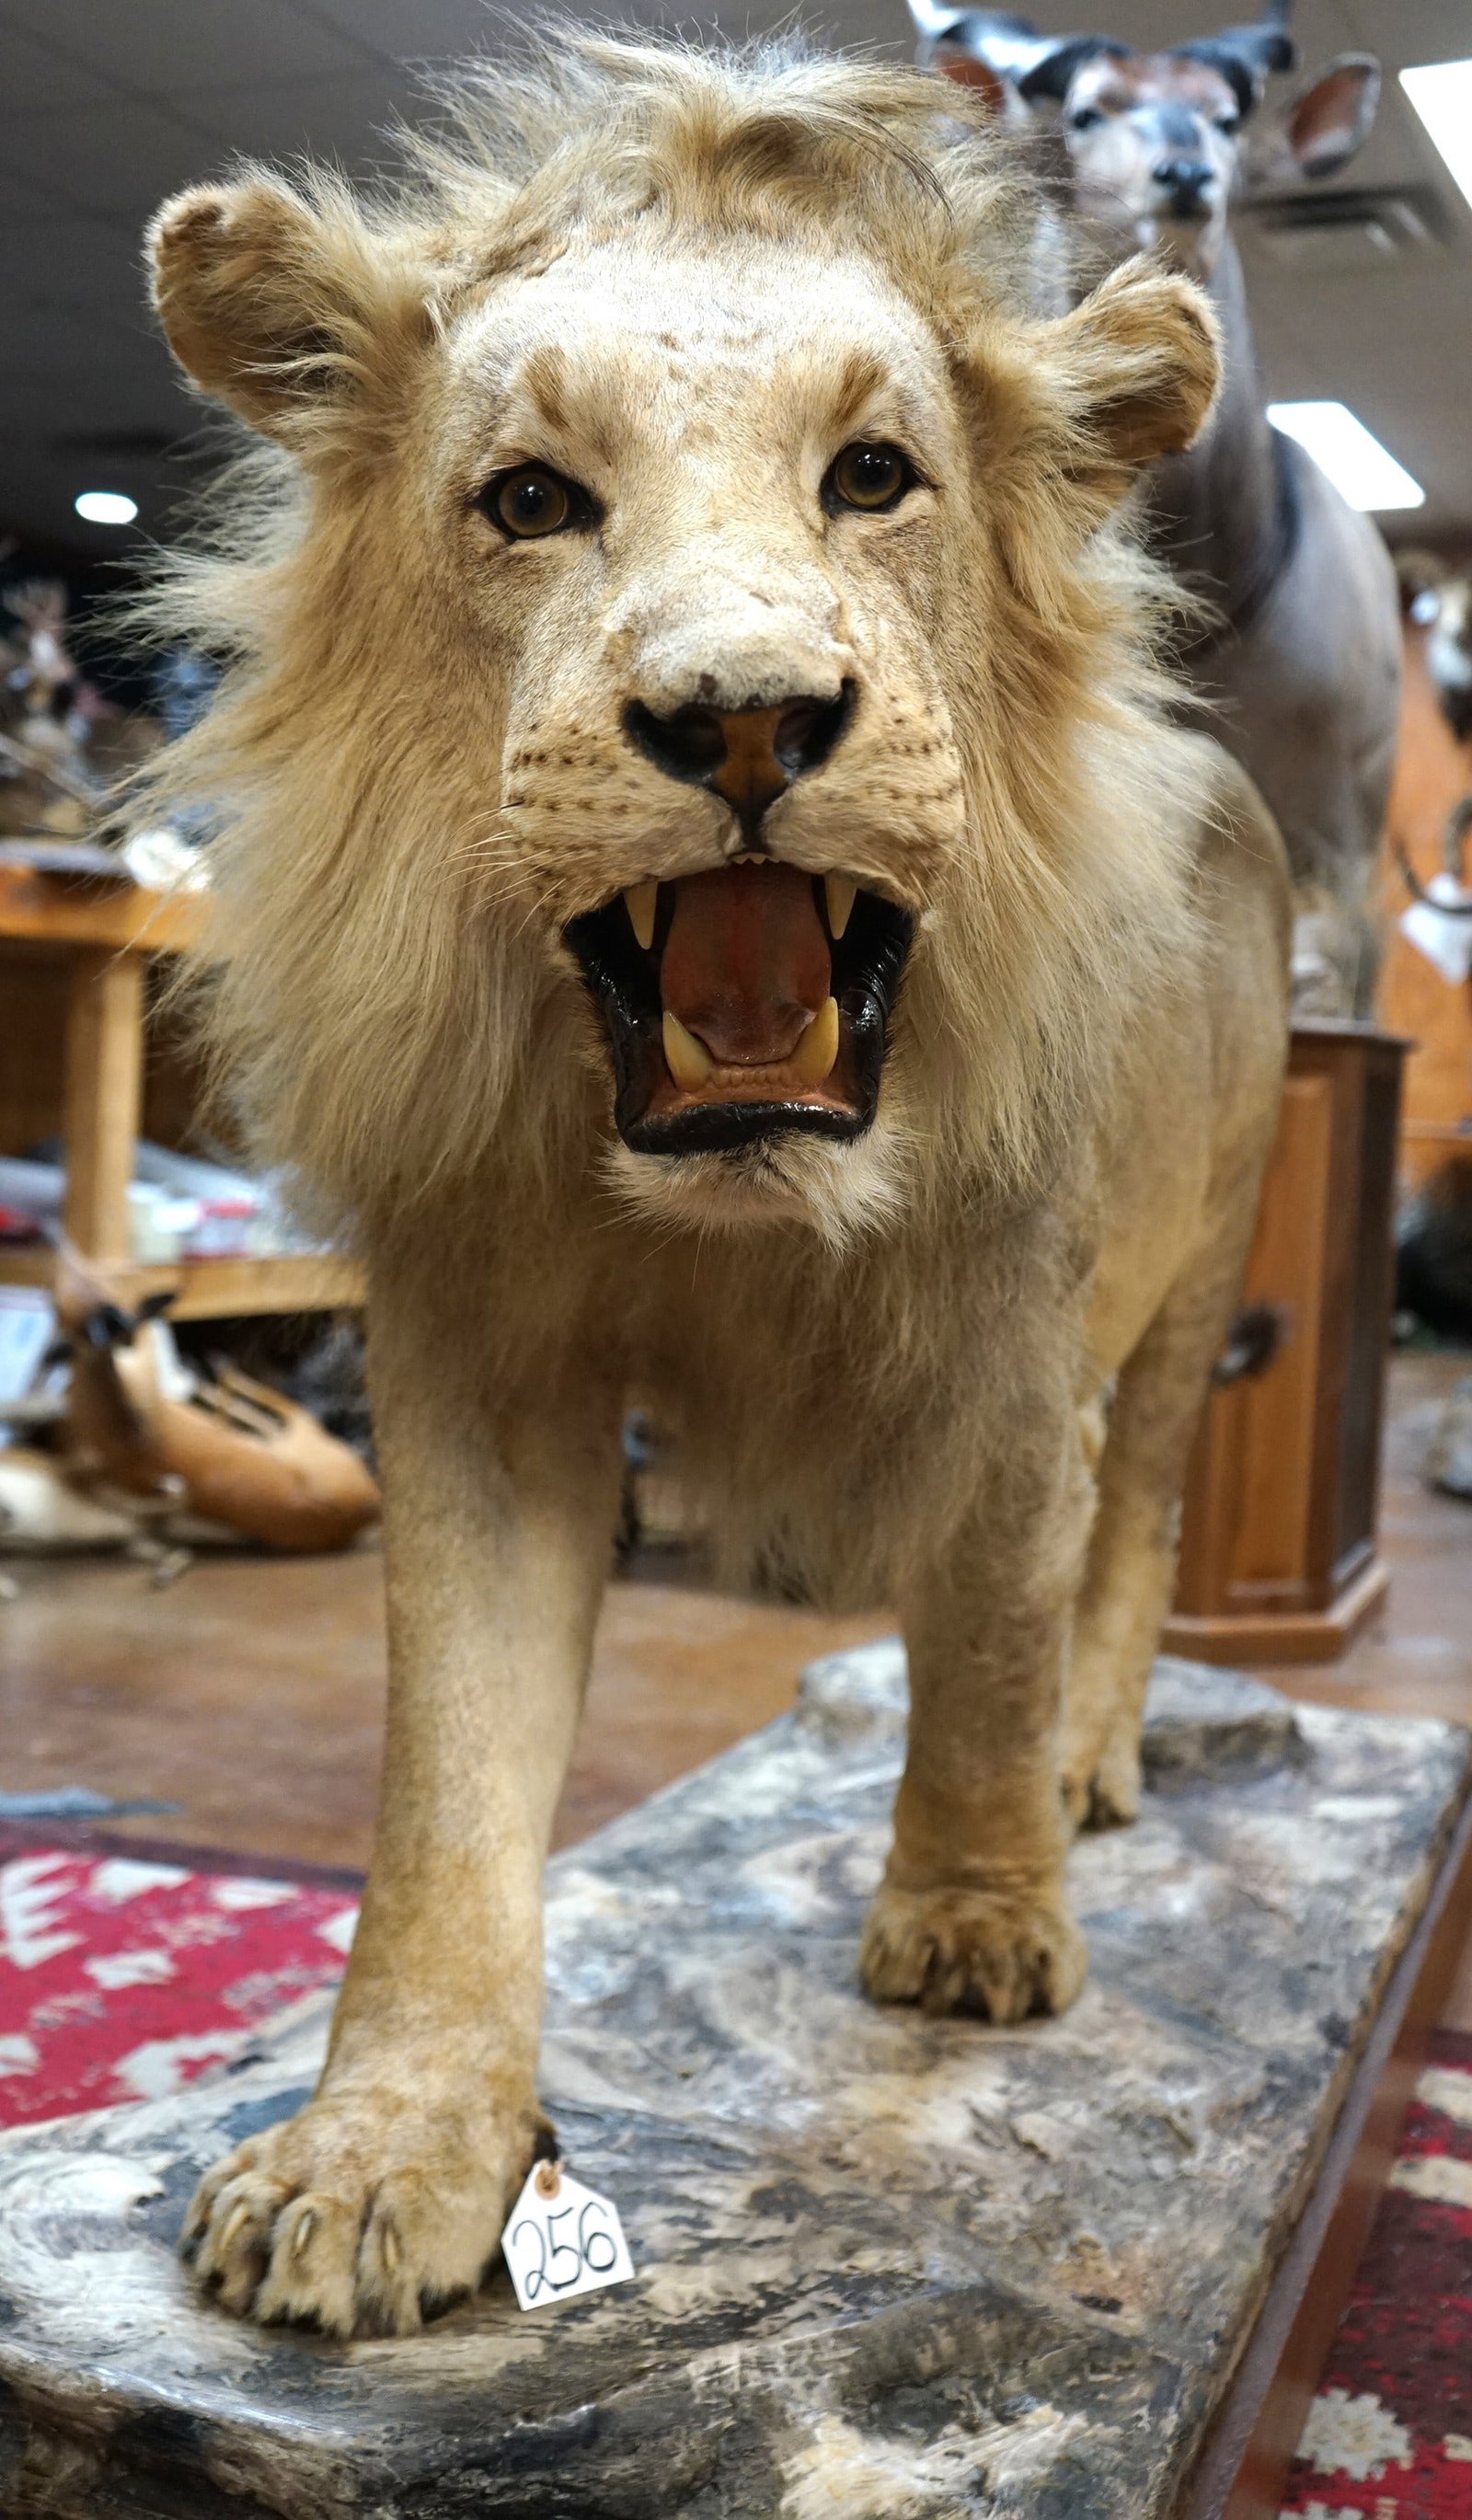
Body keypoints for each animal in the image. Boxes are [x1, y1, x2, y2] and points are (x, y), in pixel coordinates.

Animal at [140, 35, 1289, 2337]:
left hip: (1199, 1264)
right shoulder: (477, 1369)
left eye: (873, 475)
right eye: (528, 500)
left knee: (1129, 1531)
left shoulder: (1016, 1364)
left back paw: (1090, 1762)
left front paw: (974, 1917)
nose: (743, 715)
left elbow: (990, 1639)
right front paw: (378, 2151)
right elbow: (448, 1773)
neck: (739, 1224)